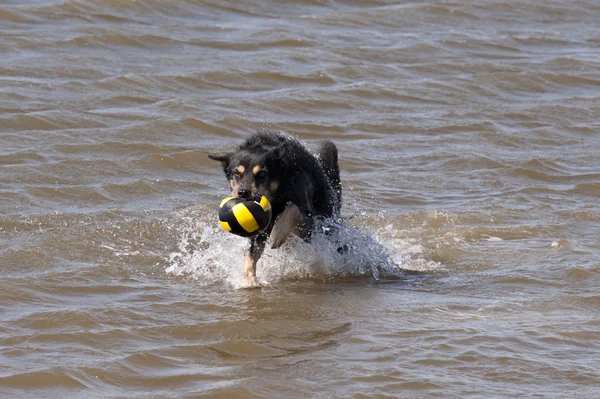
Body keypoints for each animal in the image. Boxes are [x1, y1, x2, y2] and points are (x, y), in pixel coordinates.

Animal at [210, 131, 342, 284]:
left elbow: (292, 209)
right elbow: (250, 255)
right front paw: (248, 281)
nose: (243, 193)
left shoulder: (310, 221)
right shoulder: (258, 229)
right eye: (236, 173)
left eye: (261, 173)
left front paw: (277, 234)